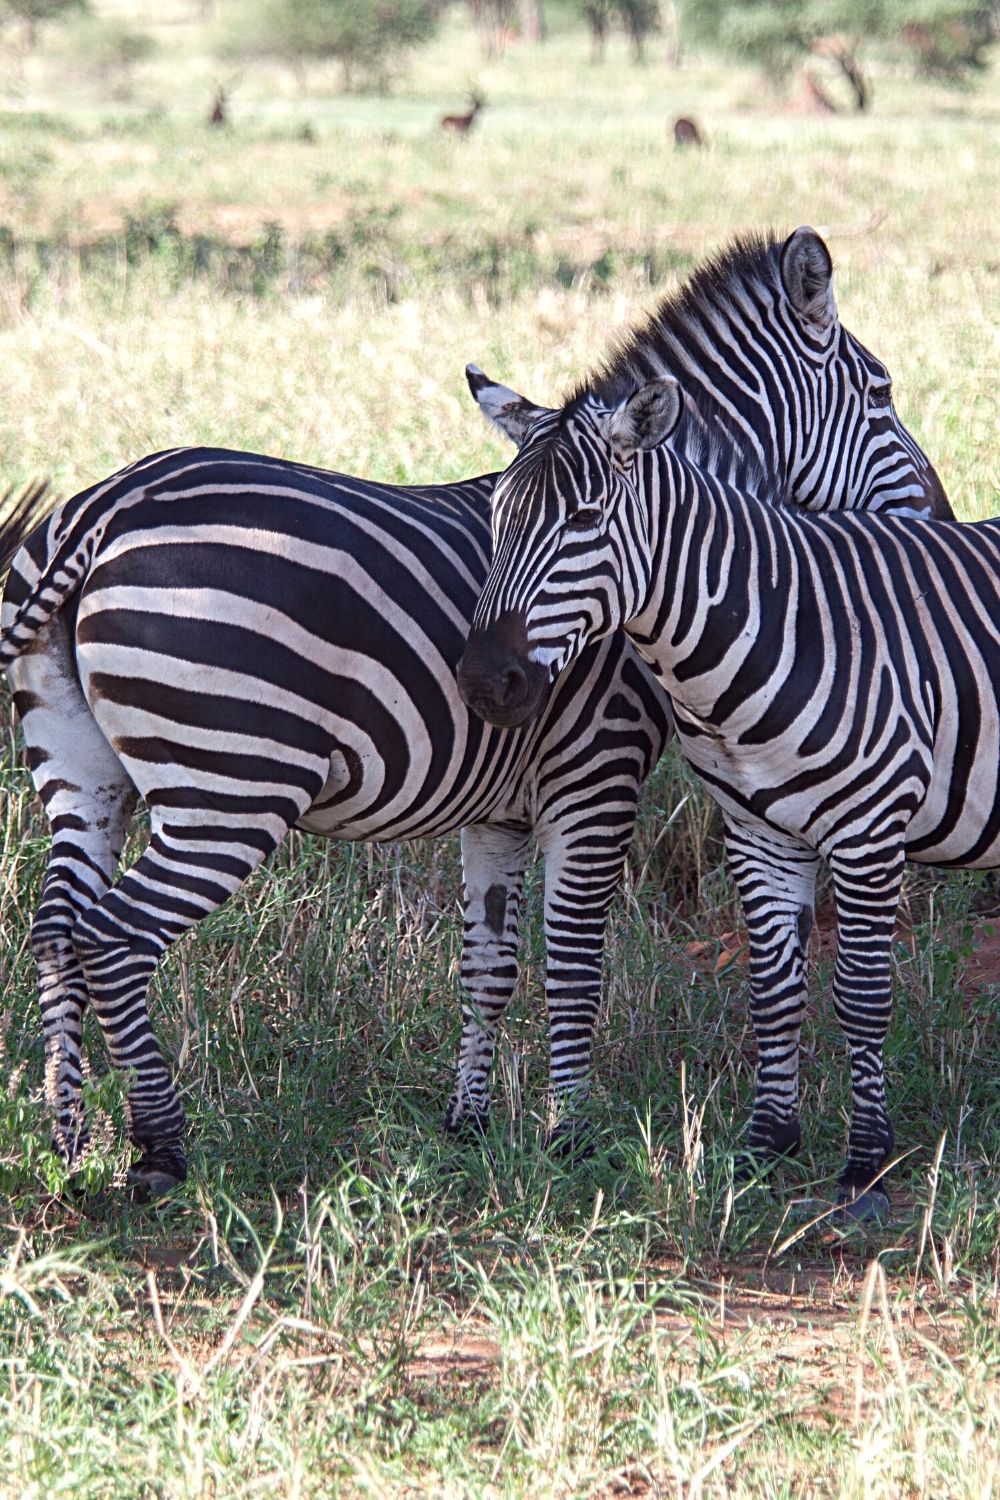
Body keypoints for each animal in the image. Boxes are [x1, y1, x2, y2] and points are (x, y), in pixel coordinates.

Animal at [3, 228, 953, 1200]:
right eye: (883, 393)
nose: (945, 516)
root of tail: (108, 505)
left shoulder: (497, 806)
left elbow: (487, 966)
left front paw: (468, 1125)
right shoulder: (597, 774)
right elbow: (572, 962)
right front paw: (572, 1139)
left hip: (83, 775)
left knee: (57, 931)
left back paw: (68, 1139)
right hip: (227, 788)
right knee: (115, 938)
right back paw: (159, 1149)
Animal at [458, 357, 995, 1224]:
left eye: (584, 519)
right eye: (499, 519)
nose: (482, 684)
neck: (776, 627)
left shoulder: (870, 832)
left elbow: (861, 995)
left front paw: (865, 1169)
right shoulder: (759, 832)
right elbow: (773, 990)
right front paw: (766, 1147)